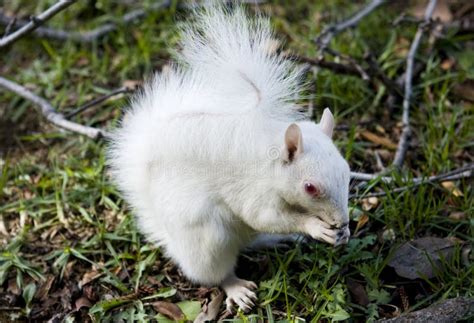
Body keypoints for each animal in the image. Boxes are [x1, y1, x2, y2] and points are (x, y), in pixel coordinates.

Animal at [108, 3, 352, 314]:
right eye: (309, 187)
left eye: (348, 173)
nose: (341, 222)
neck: (268, 163)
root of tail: (173, 244)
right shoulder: (254, 194)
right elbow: (265, 216)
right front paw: (314, 226)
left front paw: (341, 232)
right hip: (208, 241)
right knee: (217, 272)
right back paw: (236, 287)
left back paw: (280, 240)